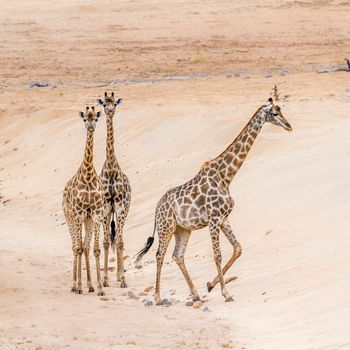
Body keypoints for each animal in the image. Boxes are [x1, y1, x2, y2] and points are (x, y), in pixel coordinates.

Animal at [137, 96, 292, 304]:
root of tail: (156, 209)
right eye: (274, 113)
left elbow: (238, 249)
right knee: (160, 254)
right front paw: (226, 293)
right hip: (166, 226)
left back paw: (195, 294)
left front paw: (210, 285)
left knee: (177, 256)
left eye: (281, 110)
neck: (226, 176)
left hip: (182, 229)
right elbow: (217, 255)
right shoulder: (213, 219)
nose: (289, 126)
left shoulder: (224, 219)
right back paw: (158, 296)